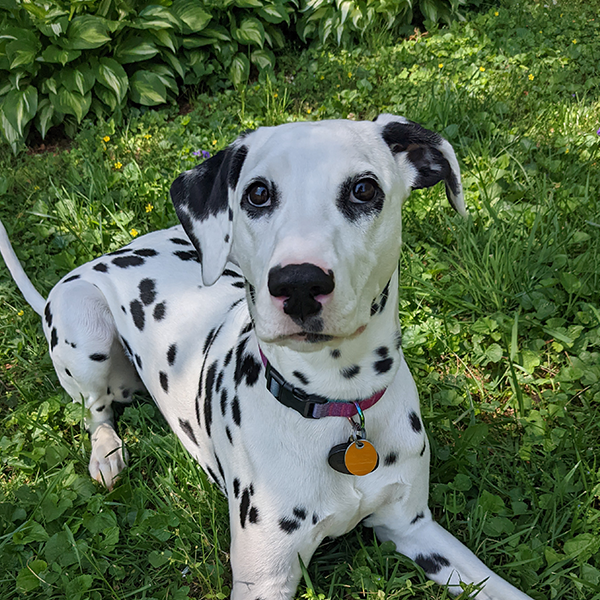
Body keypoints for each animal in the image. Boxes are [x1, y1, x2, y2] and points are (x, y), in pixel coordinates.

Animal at [1, 113, 536, 600]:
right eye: (257, 194)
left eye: (364, 189)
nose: (298, 283)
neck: (336, 403)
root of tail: (101, 258)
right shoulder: (265, 579)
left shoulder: (414, 528)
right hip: (82, 321)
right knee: (95, 410)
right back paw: (107, 453)